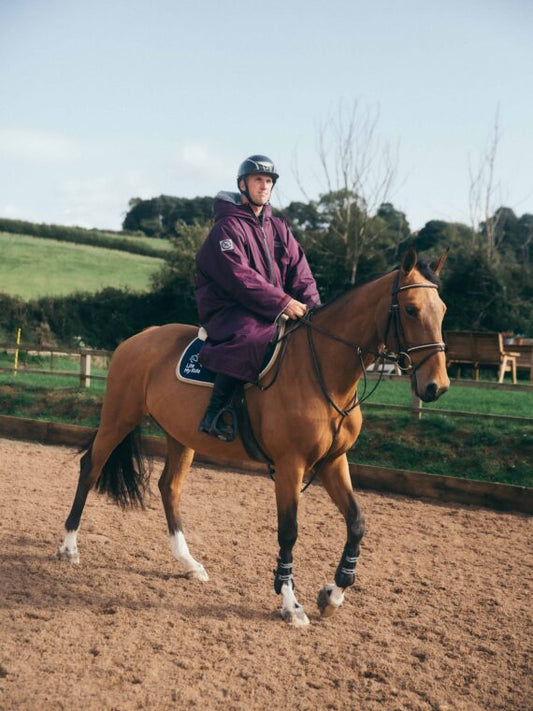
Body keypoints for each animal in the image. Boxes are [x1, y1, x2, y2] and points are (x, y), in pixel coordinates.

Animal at [58, 250, 448, 628]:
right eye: (411, 309)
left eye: (442, 310)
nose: (437, 386)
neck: (321, 370)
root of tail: (138, 338)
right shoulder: (291, 466)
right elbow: (288, 532)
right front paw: (291, 604)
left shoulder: (333, 462)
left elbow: (356, 523)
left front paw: (332, 595)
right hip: (118, 418)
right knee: (90, 468)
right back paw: (69, 548)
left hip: (179, 436)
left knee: (169, 487)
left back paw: (189, 563)